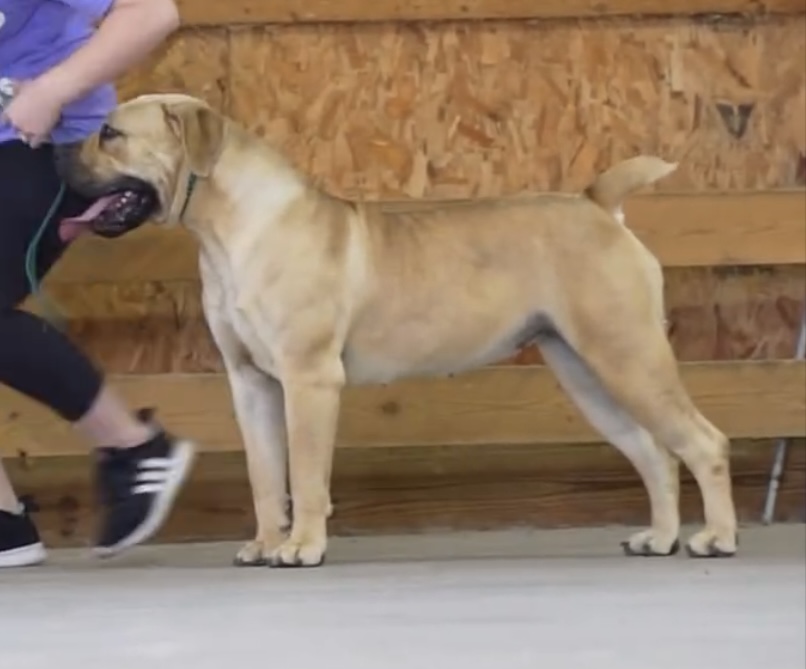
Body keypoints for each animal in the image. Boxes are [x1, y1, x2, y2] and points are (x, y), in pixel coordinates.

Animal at [54, 93, 738, 567]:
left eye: (110, 133)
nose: (57, 158)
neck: (229, 229)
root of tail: (599, 205)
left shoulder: (309, 380)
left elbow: (305, 474)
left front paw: (301, 546)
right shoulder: (250, 385)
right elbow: (265, 475)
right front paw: (265, 542)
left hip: (627, 355)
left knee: (702, 443)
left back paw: (717, 537)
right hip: (588, 371)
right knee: (654, 452)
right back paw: (660, 537)